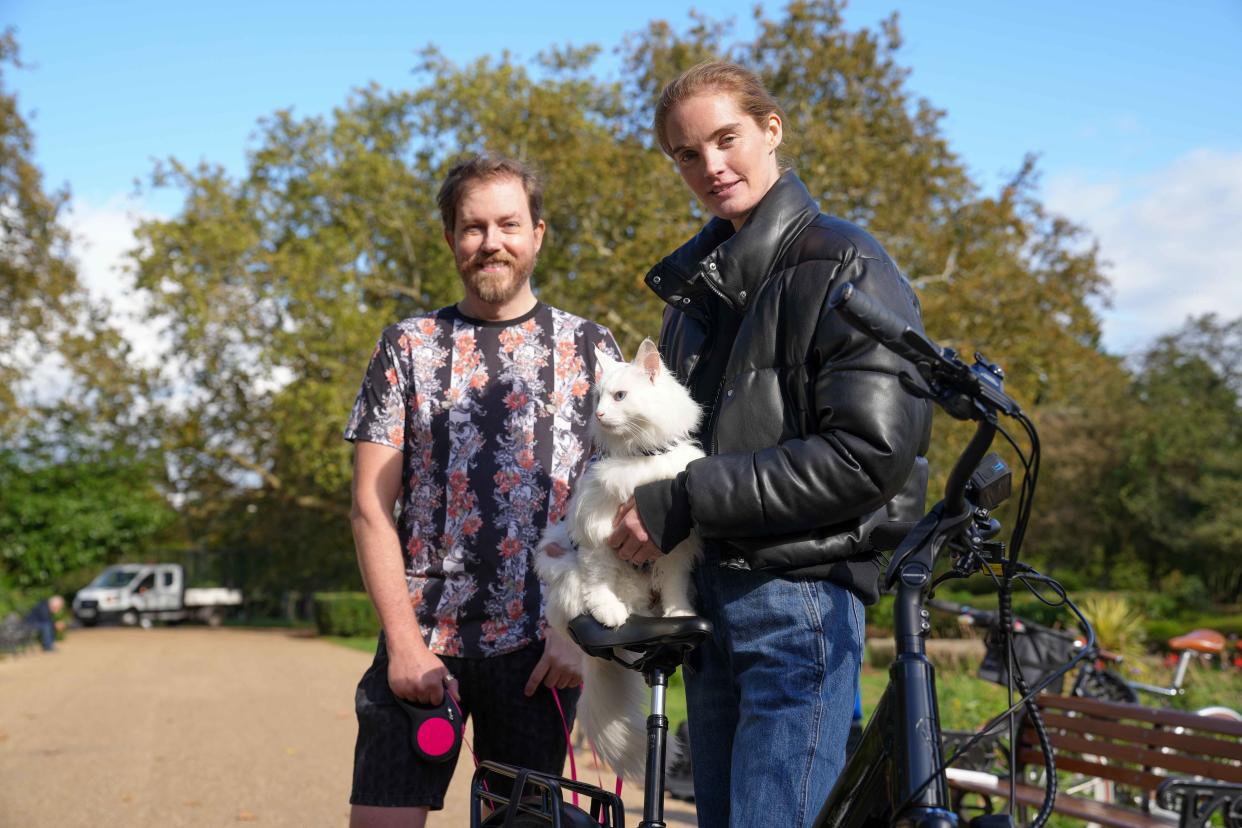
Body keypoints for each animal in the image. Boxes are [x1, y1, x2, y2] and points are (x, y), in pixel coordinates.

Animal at [536, 337, 705, 784]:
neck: (640, 457)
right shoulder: (599, 534)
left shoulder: (673, 548)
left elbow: (676, 588)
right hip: (566, 566)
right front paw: (607, 612)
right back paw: (613, 616)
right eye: (598, 397)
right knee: (591, 595)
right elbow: (598, 582)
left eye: (620, 396)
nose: (598, 414)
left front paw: (678, 612)